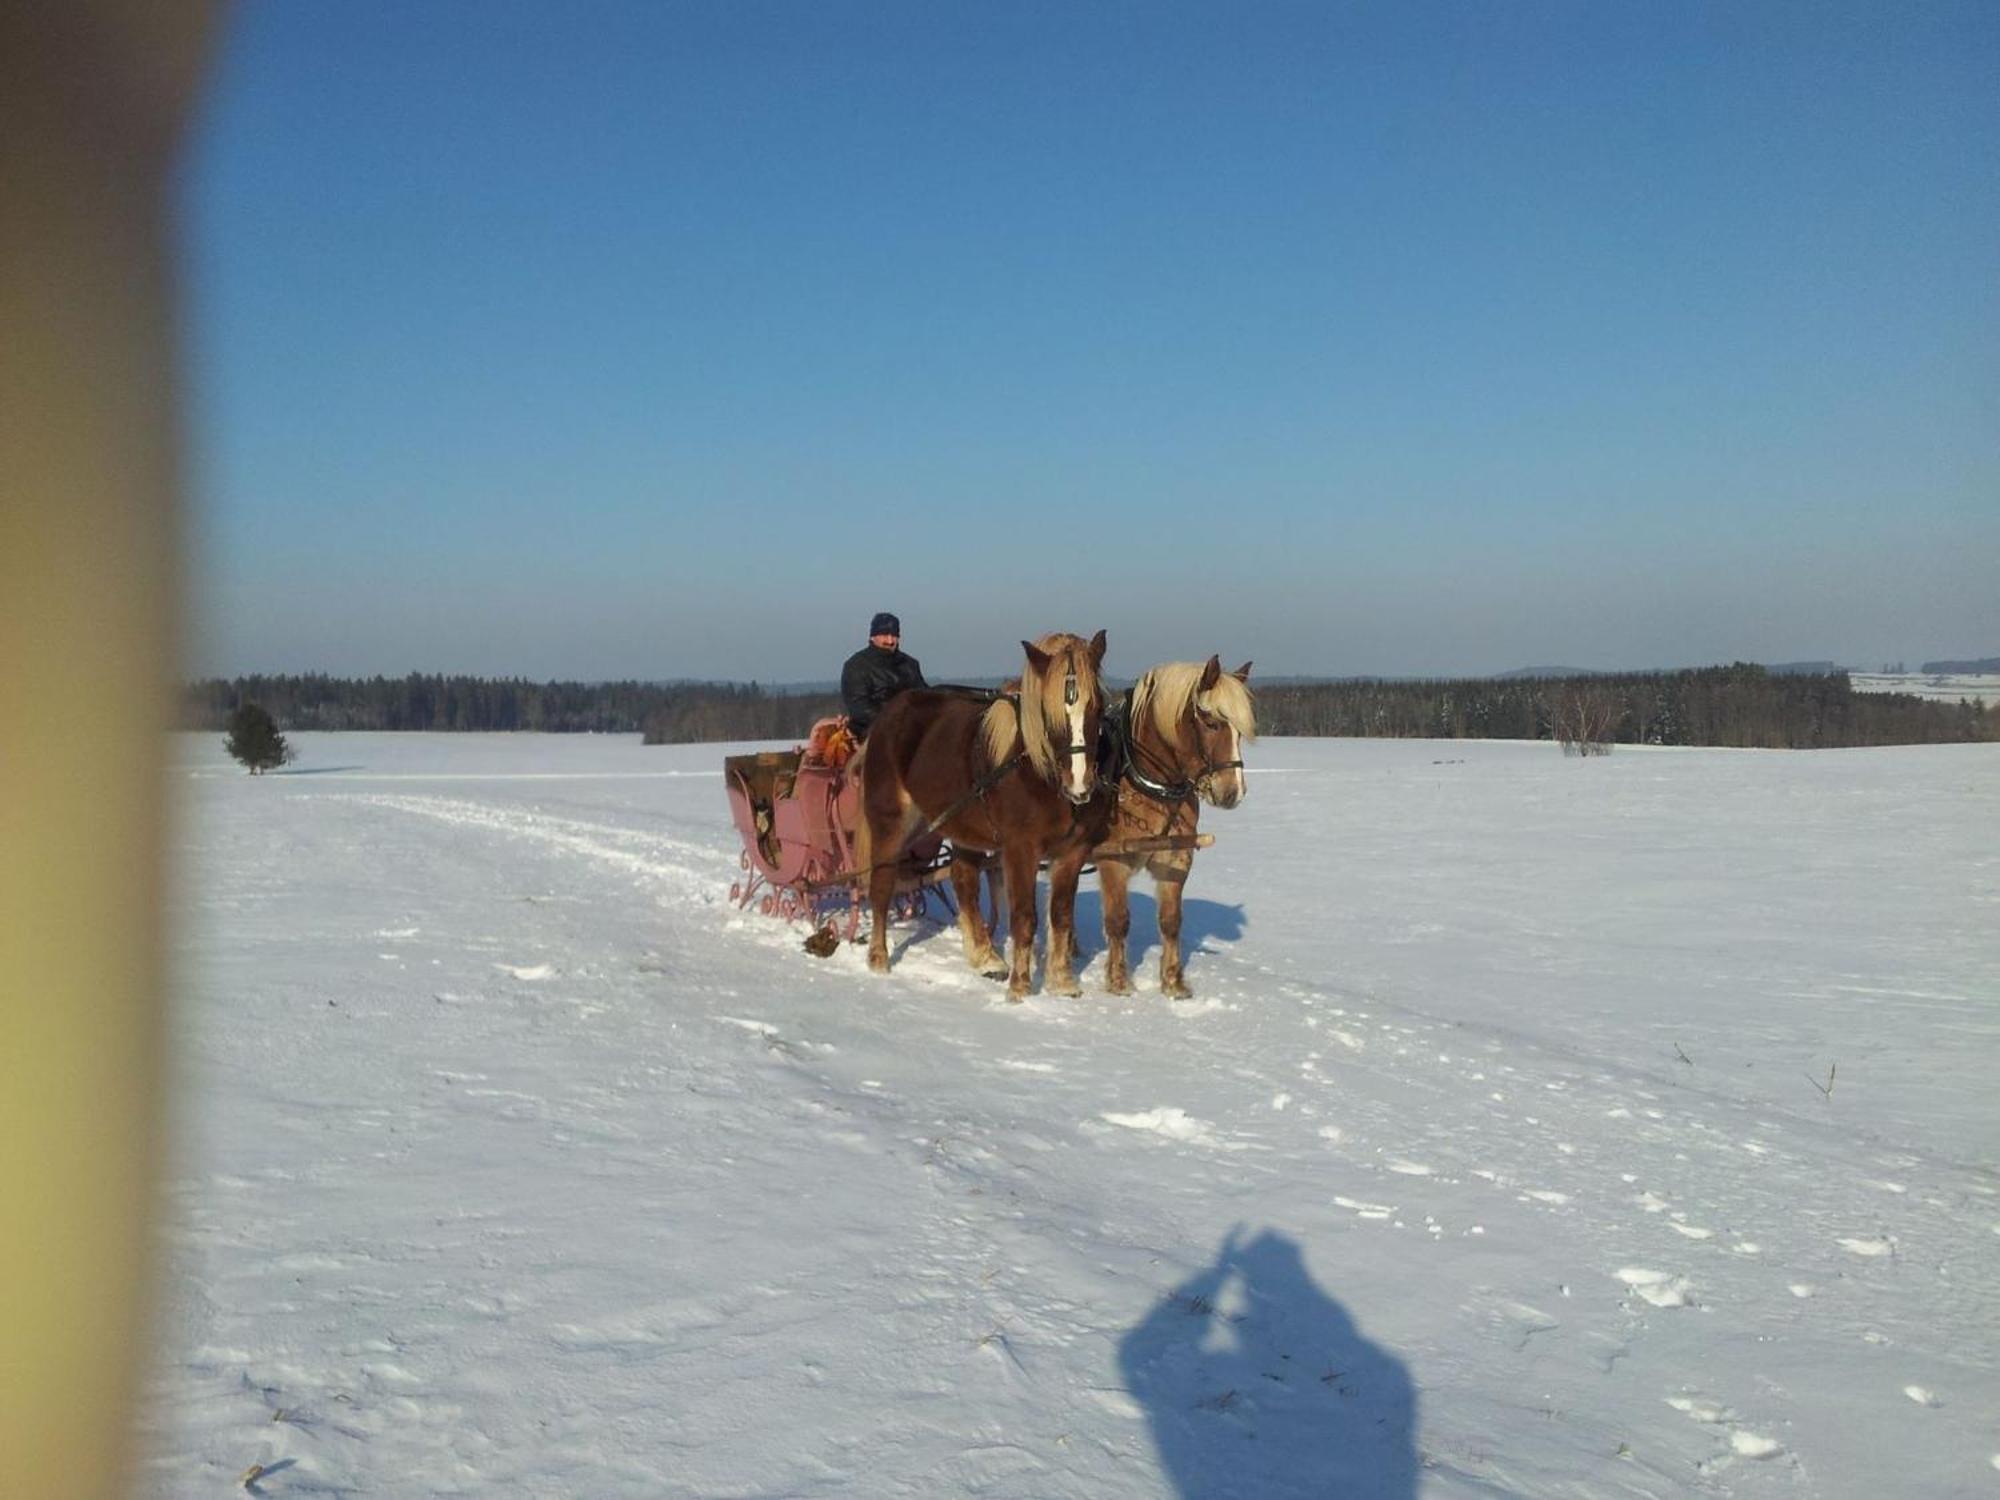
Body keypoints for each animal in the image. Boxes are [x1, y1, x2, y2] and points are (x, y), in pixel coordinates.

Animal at [856, 632, 1112, 1000]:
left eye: (1098, 707)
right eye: (1048, 712)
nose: (1080, 785)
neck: (1033, 770)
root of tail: (890, 713)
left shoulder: (1072, 852)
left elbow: (1061, 915)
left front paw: (1062, 983)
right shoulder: (1020, 848)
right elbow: (1024, 917)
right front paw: (1020, 988)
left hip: (960, 825)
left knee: (963, 881)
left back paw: (986, 957)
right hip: (891, 822)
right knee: (881, 885)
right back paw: (878, 958)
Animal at [1096, 656, 1248, 1000]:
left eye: (1241, 730)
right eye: (1211, 722)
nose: (1232, 792)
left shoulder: (1175, 859)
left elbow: (1171, 921)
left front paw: (1173, 983)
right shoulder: (1112, 860)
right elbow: (1117, 920)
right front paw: (1119, 982)